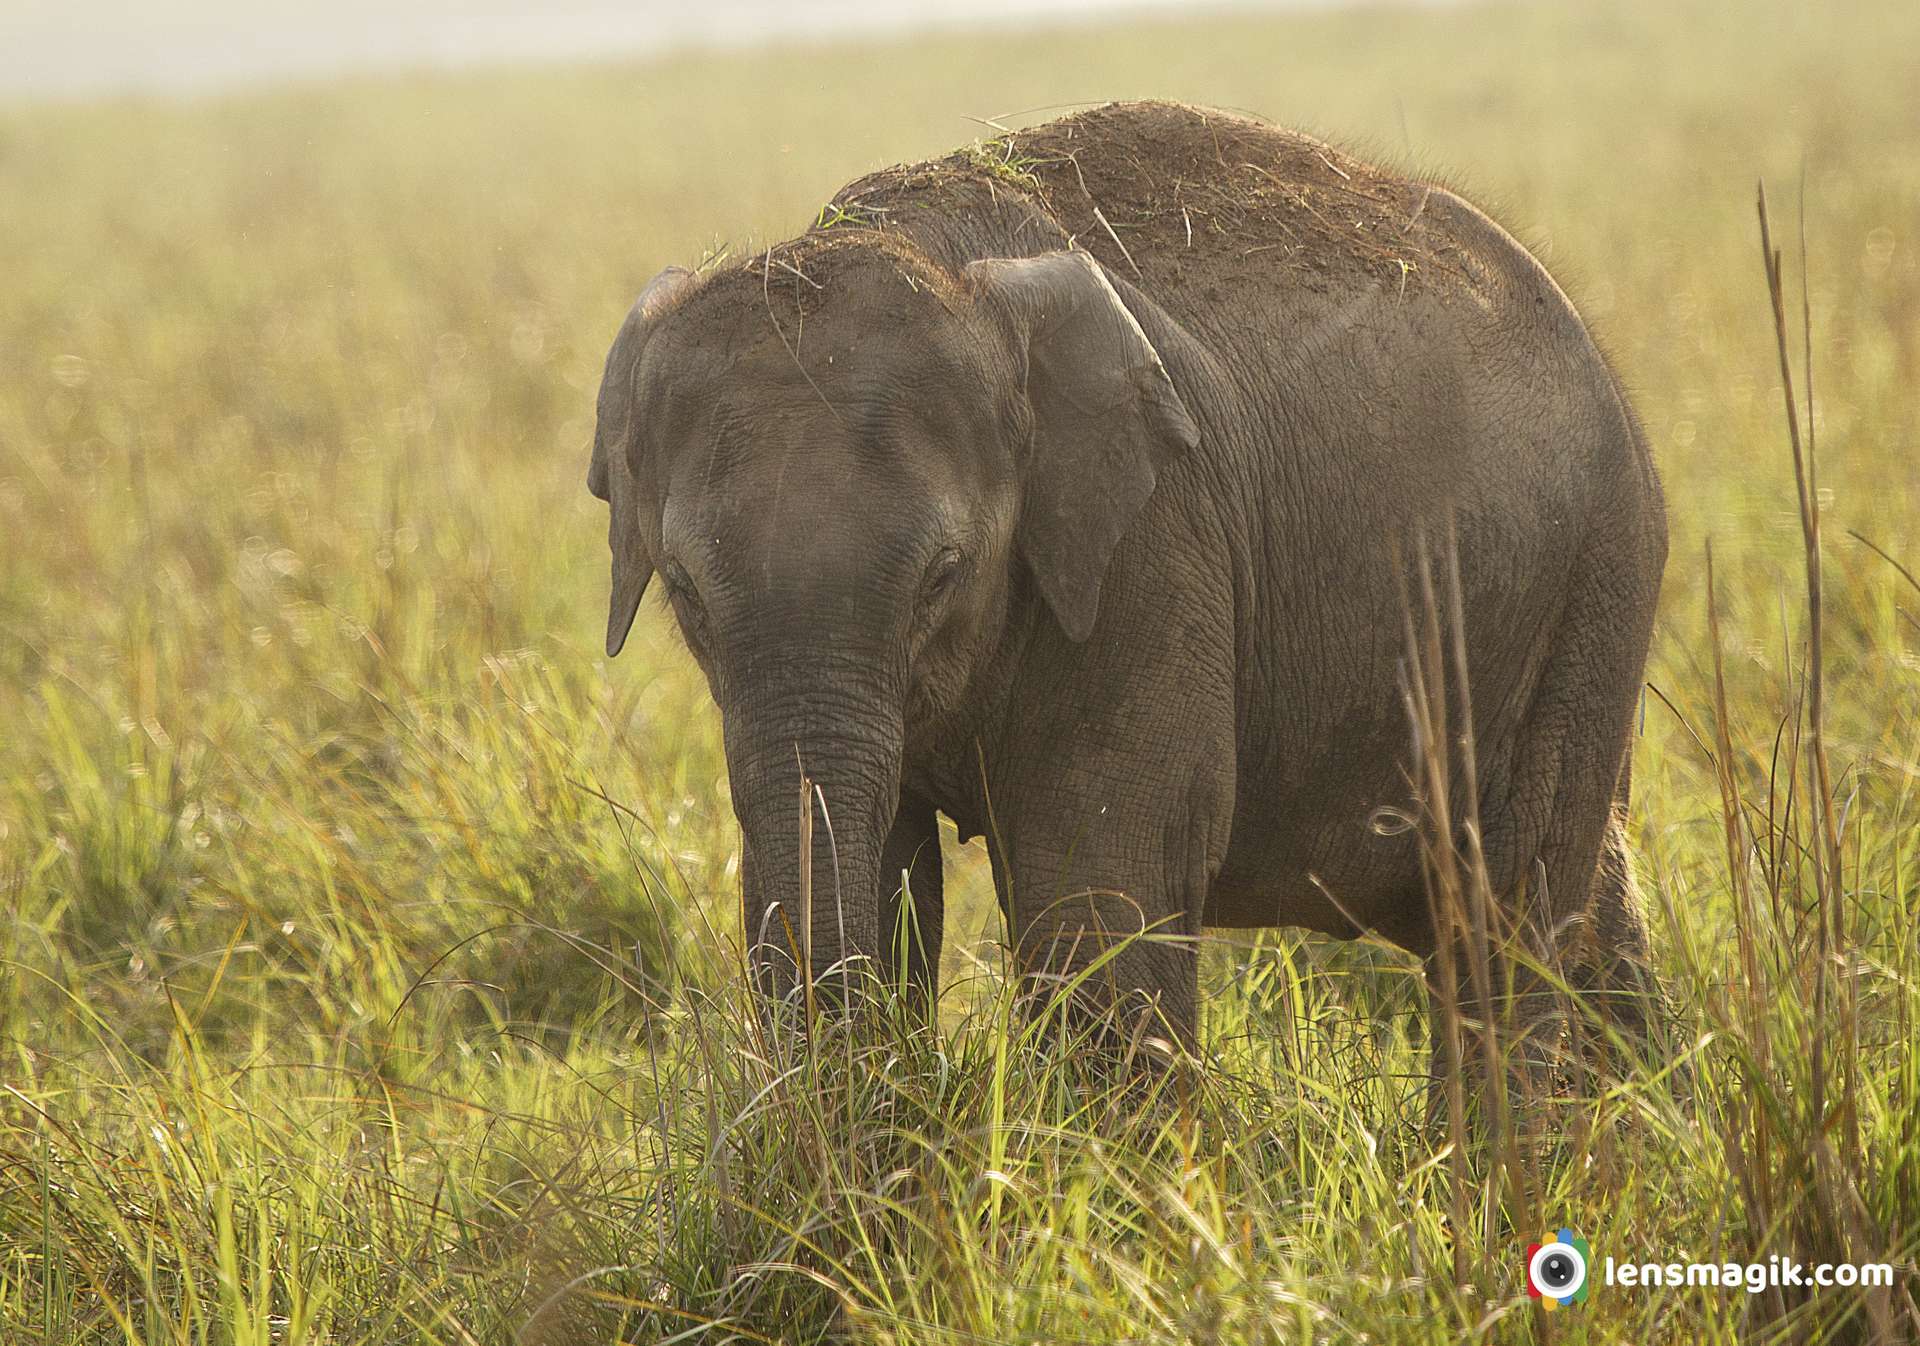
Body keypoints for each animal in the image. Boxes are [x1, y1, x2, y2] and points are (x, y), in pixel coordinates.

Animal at [583, 99, 1666, 1075]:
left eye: (943, 575)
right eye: (684, 590)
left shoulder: (1153, 544)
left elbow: (1099, 880)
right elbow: (865, 865)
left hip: (1593, 586)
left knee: (1507, 910)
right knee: (1579, 907)